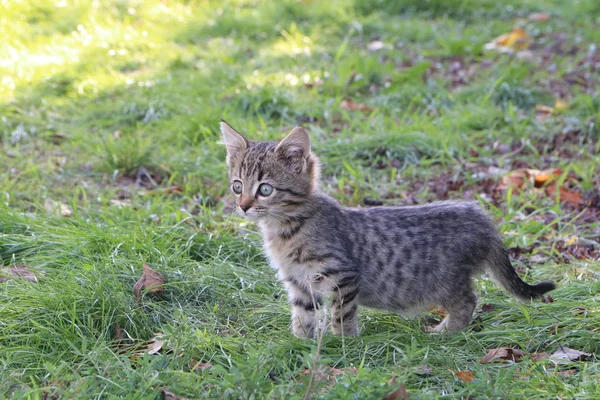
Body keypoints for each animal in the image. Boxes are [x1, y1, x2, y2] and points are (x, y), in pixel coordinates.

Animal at [218, 120, 556, 336]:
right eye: (237, 186)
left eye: (265, 189)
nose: (243, 206)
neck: (283, 228)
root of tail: (478, 214)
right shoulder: (299, 283)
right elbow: (303, 316)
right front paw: (301, 343)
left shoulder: (343, 274)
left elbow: (341, 314)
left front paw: (342, 344)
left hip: (445, 280)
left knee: (467, 302)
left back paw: (444, 332)